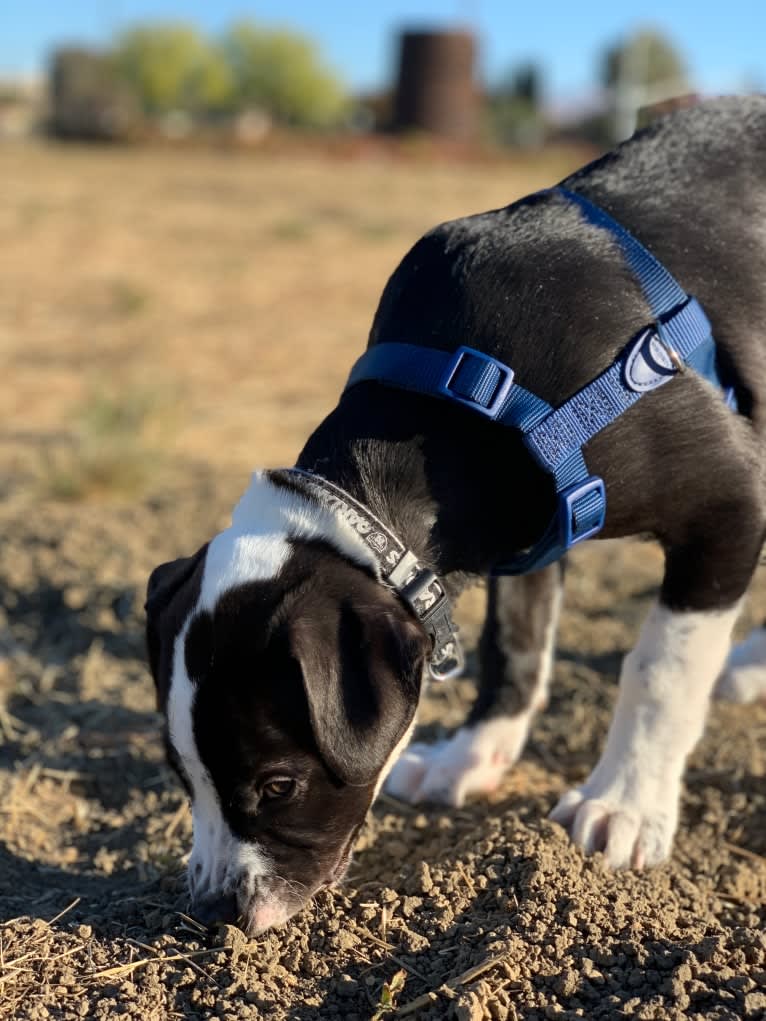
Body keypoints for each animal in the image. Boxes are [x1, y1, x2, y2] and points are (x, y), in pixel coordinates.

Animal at [145, 97, 766, 935]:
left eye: (278, 784)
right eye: (180, 770)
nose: (215, 910)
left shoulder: (730, 499)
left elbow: (661, 666)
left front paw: (625, 801)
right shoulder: (531, 535)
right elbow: (515, 643)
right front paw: (473, 753)